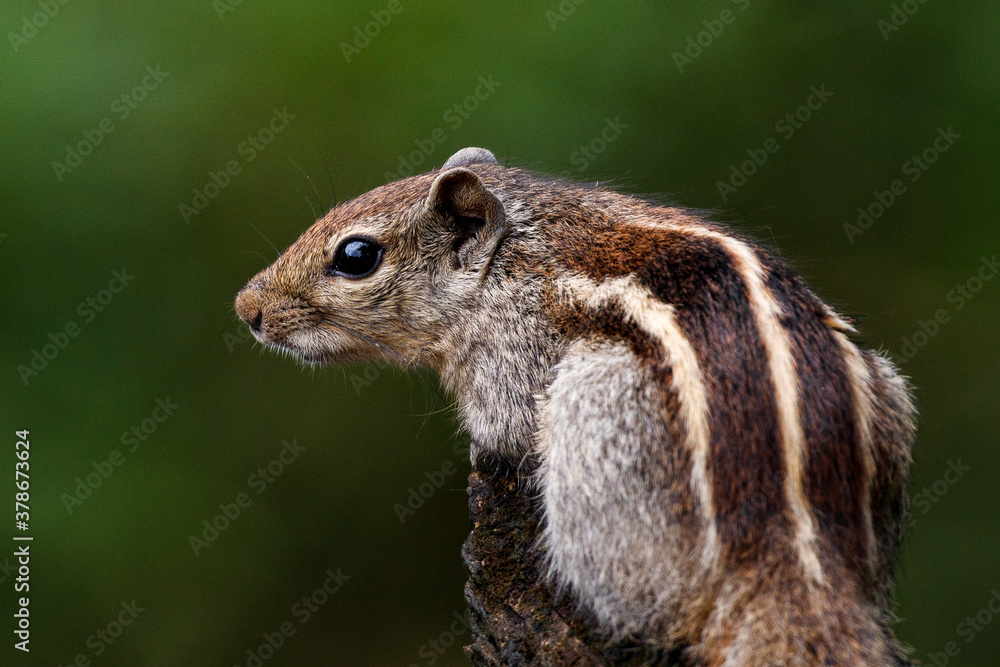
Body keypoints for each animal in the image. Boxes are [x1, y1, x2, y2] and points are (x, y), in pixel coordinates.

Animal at [235, 147, 916, 666]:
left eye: (356, 256)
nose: (247, 309)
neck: (509, 253)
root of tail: (789, 543)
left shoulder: (509, 361)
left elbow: (501, 429)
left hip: (596, 425)